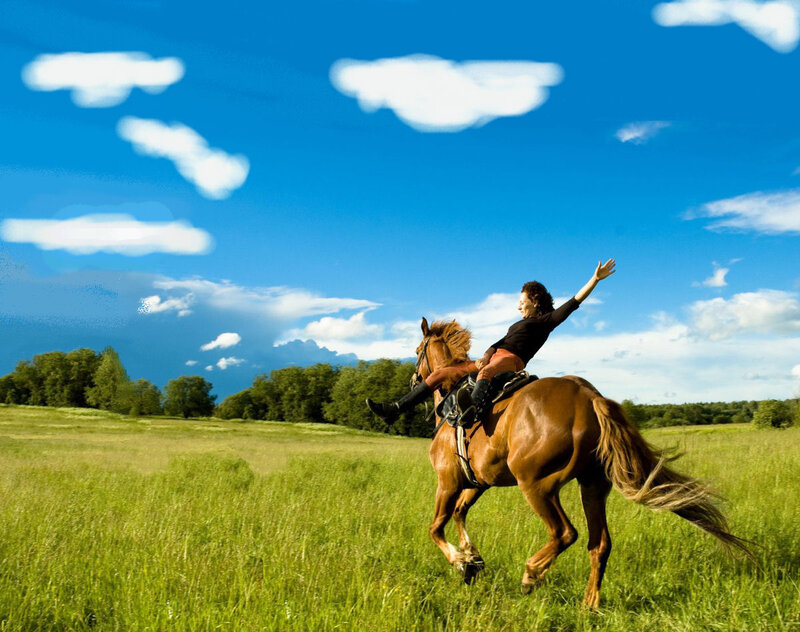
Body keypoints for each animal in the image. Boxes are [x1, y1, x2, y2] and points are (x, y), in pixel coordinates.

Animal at [413, 317, 752, 610]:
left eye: (417, 352)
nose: (415, 378)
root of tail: (589, 397)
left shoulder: (448, 481)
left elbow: (436, 527)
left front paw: (461, 561)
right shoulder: (478, 482)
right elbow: (460, 513)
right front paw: (472, 559)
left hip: (538, 486)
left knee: (565, 533)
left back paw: (531, 574)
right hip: (592, 486)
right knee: (599, 544)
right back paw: (589, 605)